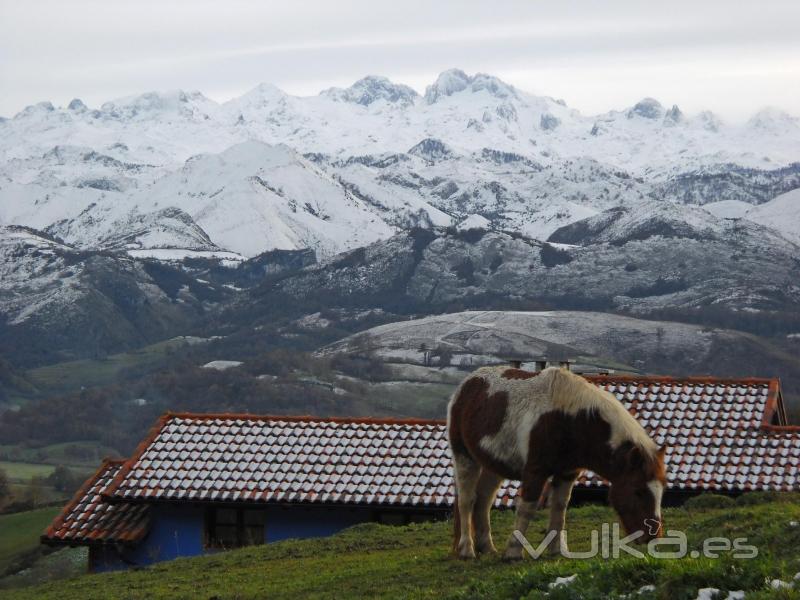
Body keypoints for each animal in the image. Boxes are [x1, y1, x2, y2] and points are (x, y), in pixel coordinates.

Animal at [446, 368, 664, 560]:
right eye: (638, 491)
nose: (652, 537)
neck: (570, 420)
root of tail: (467, 386)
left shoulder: (567, 473)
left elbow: (559, 509)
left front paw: (557, 550)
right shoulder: (535, 471)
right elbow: (527, 509)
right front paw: (513, 552)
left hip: (493, 466)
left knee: (483, 500)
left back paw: (487, 548)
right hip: (465, 457)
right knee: (467, 500)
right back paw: (467, 550)